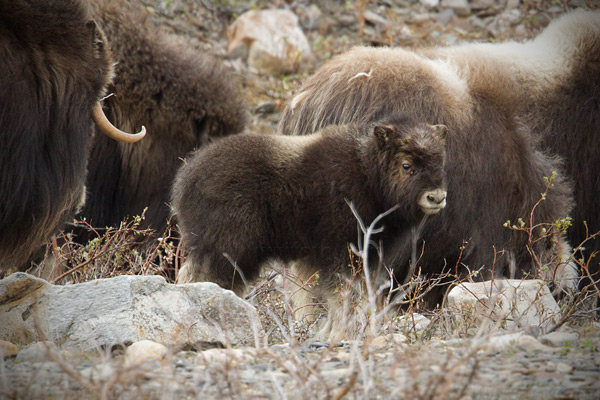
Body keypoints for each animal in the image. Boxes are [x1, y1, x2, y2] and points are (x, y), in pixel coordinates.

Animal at [171, 115, 448, 338]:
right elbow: (343, 295)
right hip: (230, 248)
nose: (436, 197)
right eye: (406, 165)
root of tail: (186, 179)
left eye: (440, 163)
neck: (368, 174)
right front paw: (340, 334)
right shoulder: (342, 253)